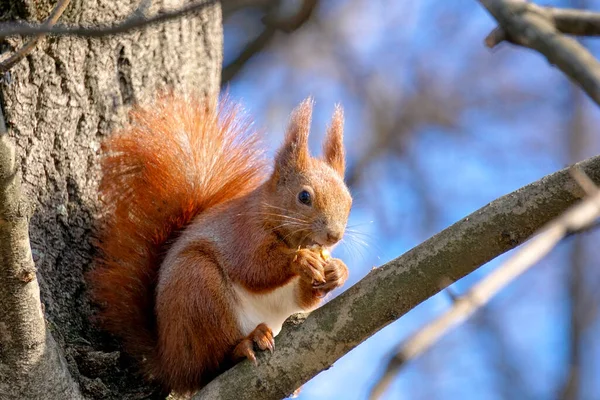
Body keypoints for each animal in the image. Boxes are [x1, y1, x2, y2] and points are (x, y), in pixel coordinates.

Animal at [88, 94, 352, 396]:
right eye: (304, 196)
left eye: (349, 200)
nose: (334, 236)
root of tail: (170, 363)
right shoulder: (242, 233)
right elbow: (255, 269)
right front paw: (301, 261)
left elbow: (302, 299)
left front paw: (338, 272)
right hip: (198, 289)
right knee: (211, 364)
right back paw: (244, 344)